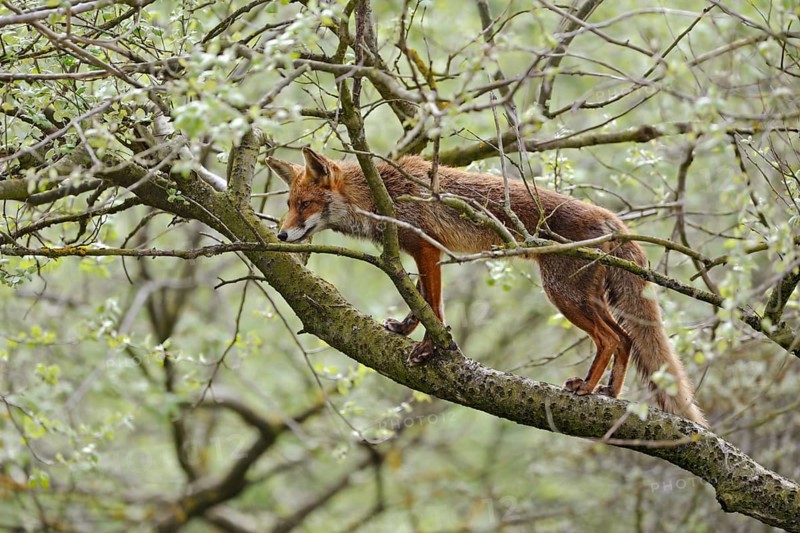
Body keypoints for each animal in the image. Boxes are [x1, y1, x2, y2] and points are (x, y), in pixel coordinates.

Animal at [266, 147, 707, 426]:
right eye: (288, 205)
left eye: (304, 205)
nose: (282, 235)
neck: (382, 193)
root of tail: (614, 220)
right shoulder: (427, 253)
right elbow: (420, 301)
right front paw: (407, 330)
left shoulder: (426, 247)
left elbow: (433, 306)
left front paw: (429, 347)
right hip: (586, 298)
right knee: (627, 339)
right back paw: (609, 393)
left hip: (563, 295)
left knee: (612, 338)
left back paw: (585, 388)